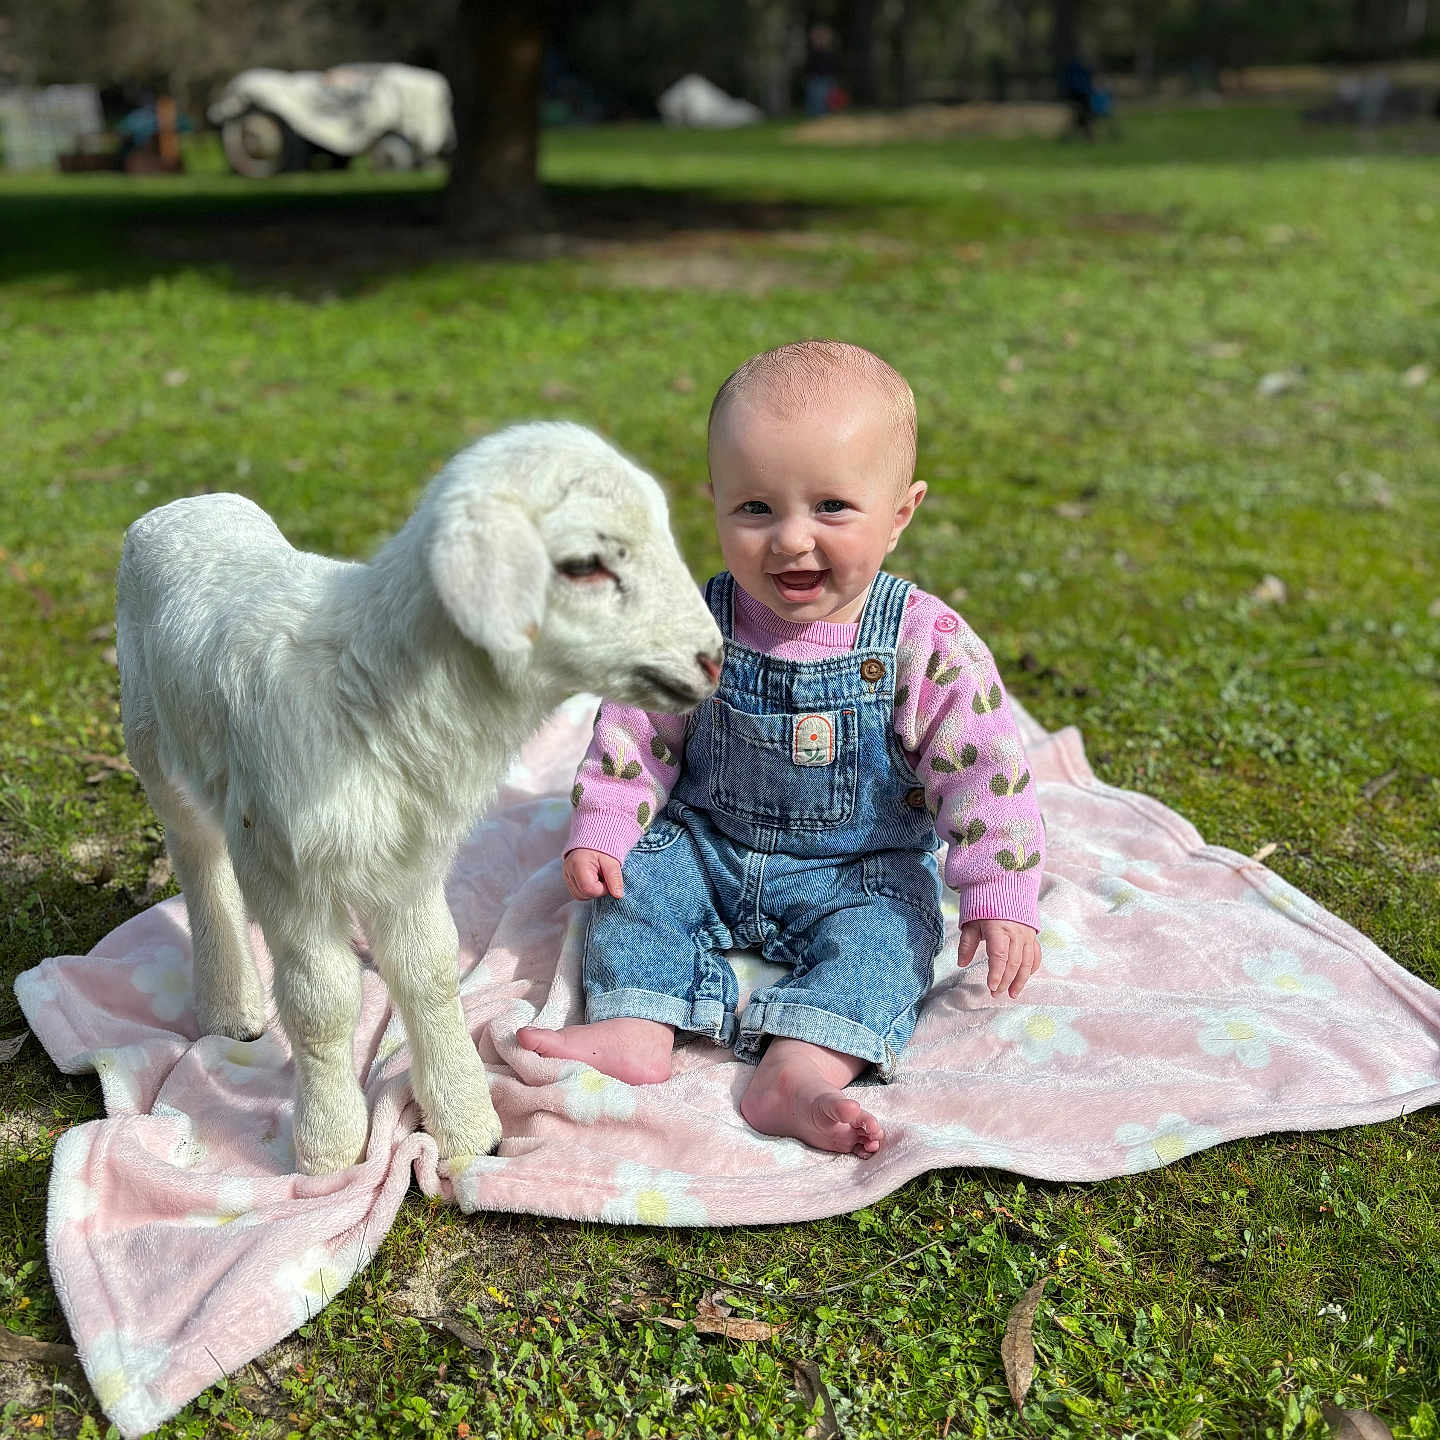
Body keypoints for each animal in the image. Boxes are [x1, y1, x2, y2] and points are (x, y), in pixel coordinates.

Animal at [116, 421, 723, 1175]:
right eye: (584, 564)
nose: (712, 659)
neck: (364, 690)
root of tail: (181, 505)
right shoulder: (281, 861)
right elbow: (320, 1004)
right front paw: (328, 1147)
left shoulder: (409, 857)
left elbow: (430, 972)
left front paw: (467, 1126)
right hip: (152, 739)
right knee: (198, 857)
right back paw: (232, 1004)